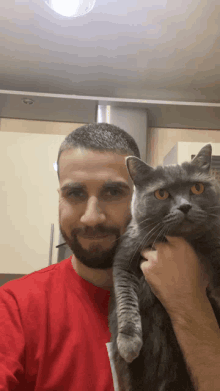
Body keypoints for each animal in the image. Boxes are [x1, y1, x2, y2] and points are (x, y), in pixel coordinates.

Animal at [110, 145, 220, 391]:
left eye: (197, 188)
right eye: (161, 194)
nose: (185, 206)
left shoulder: (214, 243)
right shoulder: (124, 262)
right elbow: (126, 301)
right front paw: (129, 341)